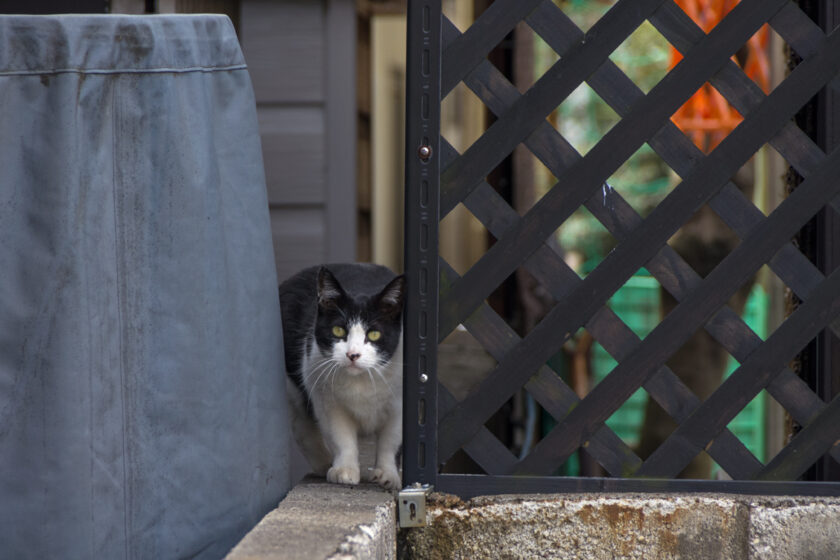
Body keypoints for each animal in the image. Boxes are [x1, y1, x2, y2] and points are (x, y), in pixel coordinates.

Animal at [280, 264, 406, 488]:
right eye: (338, 330)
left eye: (374, 334)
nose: (352, 354)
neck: (362, 381)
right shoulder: (328, 402)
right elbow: (341, 436)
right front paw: (344, 470)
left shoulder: (400, 404)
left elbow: (391, 439)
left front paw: (387, 475)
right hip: (294, 386)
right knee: (301, 426)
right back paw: (323, 464)